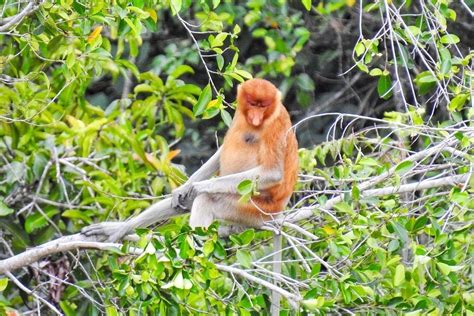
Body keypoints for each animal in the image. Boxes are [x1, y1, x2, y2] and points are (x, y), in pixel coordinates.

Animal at [81, 79, 296, 242]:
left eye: (263, 106)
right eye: (252, 104)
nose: (256, 117)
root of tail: (277, 213)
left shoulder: (275, 126)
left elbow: (272, 173)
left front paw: (200, 186)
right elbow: (219, 154)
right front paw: (183, 189)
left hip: (251, 209)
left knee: (207, 200)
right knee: (182, 201)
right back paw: (119, 229)